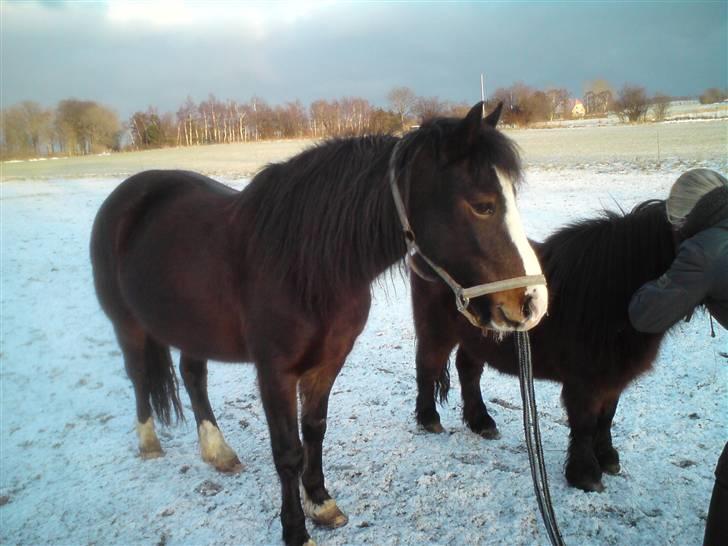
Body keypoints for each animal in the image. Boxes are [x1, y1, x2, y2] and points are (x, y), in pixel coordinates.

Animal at [90, 102, 548, 546]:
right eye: (483, 204)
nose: (533, 303)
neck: (304, 263)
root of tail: (127, 196)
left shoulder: (326, 364)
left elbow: (314, 431)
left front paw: (321, 503)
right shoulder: (275, 372)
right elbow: (288, 451)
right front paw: (295, 530)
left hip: (192, 327)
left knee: (192, 375)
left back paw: (217, 451)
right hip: (127, 325)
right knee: (139, 375)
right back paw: (149, 443)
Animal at [412, 200, 677, 493]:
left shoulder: (611, 379)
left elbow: (607, 417)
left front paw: (607, 459)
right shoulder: (584, 383)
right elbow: (584, 424)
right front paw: (585, 475)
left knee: (468, 371)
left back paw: (481, 422)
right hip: (436, 331)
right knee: (427, 367)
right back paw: (429, 419)